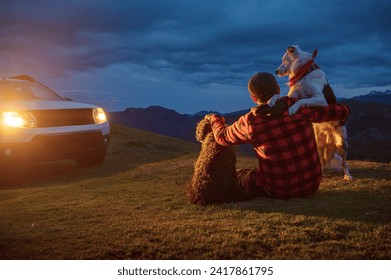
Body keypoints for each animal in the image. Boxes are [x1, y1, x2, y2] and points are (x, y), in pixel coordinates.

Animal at [274, 44, 354, 180]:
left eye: (284, 60)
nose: (276, 71)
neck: (304, 73)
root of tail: (328, 135)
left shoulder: (320, 99)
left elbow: (302, 101)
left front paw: (293, 109)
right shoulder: (293, 95)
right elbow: (281, 97)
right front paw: (271, 99)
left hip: (342, 142)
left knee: (344, 163)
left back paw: (347, 175)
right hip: (318, 144)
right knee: (321, 162)